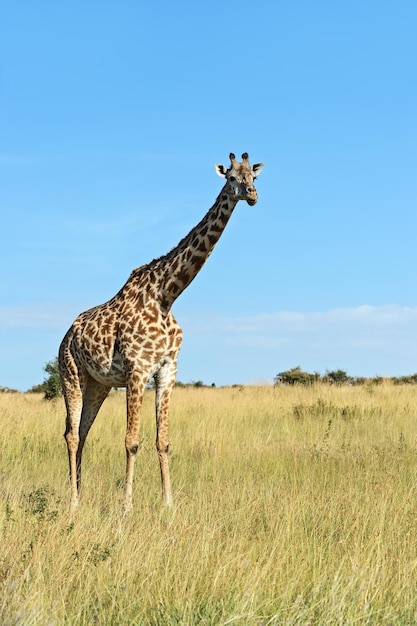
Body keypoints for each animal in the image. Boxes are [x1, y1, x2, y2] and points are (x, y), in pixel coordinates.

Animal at [58, 152, 264, 512]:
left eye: (253, 176)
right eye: (230, 178)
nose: (252, 195)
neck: (167, 295)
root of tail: (66, 336)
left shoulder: (168, 369)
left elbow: (163, 441)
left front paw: (168, 504)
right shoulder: (137, 370)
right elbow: (131, 441)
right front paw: (127, 507)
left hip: (97, 384)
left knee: (82, 433)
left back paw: (80, 495)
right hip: (71, 374)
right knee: (70, 434)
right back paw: (72, 503)